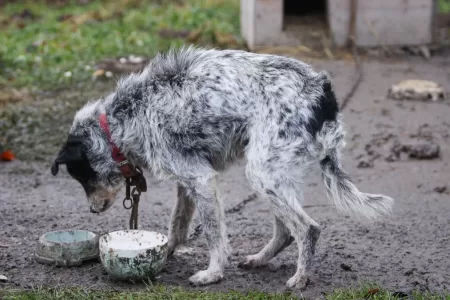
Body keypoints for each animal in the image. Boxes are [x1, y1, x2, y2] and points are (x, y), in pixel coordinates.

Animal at [50, 47, 394, 290]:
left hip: (262, 174)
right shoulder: (186, 181)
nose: (93, 210)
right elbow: (177, 225)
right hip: (276, 176)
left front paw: (213, 273)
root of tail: (323, 93)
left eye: (82, 178)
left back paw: (300, 279)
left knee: (307, 229)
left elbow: (214, 234)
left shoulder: (201, 180)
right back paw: (260, 259)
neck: (120, 120)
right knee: (286, 231)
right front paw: (165, 252)